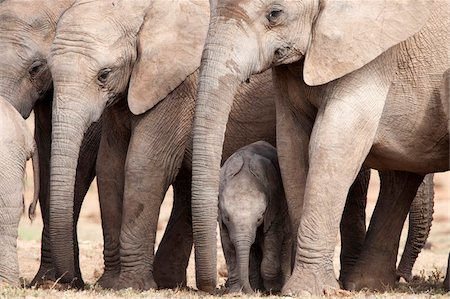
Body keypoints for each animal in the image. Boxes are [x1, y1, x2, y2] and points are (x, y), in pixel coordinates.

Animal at [219, 142, 290, 294]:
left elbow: (273, 237)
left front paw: (273, 289)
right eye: (227, 218)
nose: (250, 292)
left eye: (259, 218)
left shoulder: (275, 205)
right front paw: (235, 291)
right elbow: (228, 245)